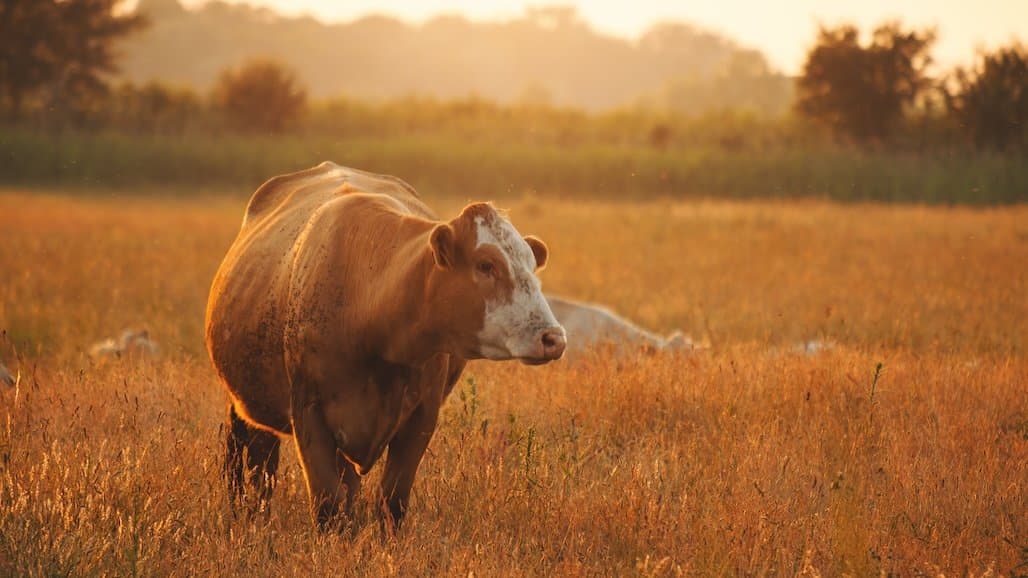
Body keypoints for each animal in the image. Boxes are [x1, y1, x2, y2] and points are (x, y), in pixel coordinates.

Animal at [205, 162, 565, 531]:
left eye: (532, 266)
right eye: (485, 264)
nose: (552, 338)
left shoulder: (421, 416)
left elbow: (391, 501)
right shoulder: (307, 412)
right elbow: (327, 502)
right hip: (246, 407)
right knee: (254, 464)